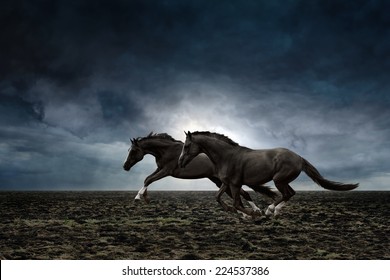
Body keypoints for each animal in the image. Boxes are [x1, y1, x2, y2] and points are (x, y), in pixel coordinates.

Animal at [122, 131, 278, 212]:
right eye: (129, 150)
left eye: (133, 151)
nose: (125, 166)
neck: (166, 150)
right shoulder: (160, 168)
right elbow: (147, 179)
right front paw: (145, 197)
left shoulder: (166, 170)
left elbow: (149, 179)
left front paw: (138, 198)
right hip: (218, 180)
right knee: (241, 193)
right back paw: (250, 212)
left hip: (221, 180)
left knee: (243, 193)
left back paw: (255, 211)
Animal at [178, 130, 358, 218]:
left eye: (186, 146)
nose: (180, 162)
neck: (226, 156)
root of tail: (299, 157)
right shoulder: (226, 183)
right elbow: (217, 197)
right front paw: (233, 210)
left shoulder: (235, 184)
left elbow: (237, 203)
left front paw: (253, 213)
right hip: (282, 181)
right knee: (291, 193)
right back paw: (275, 211)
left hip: (279, 180)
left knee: (287, 194)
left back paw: (269, 210)